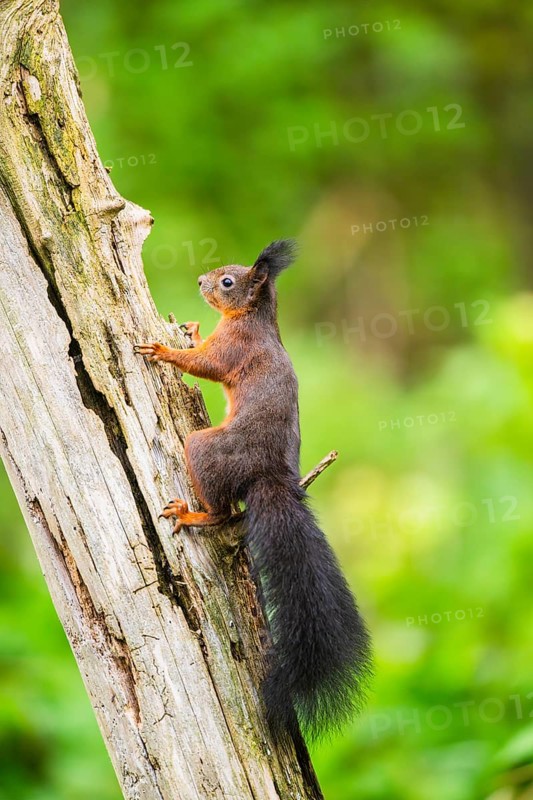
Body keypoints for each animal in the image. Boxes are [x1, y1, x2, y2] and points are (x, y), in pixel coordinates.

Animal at [134, 239, 372, 739]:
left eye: (228, 281)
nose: (200, 281)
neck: (252, 316)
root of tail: (272, 479)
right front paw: (190, 328)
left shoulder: (234, 347)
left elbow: (204, 364)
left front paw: (162, 348)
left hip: (205, 449)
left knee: (223, 511)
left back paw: (191, 514)